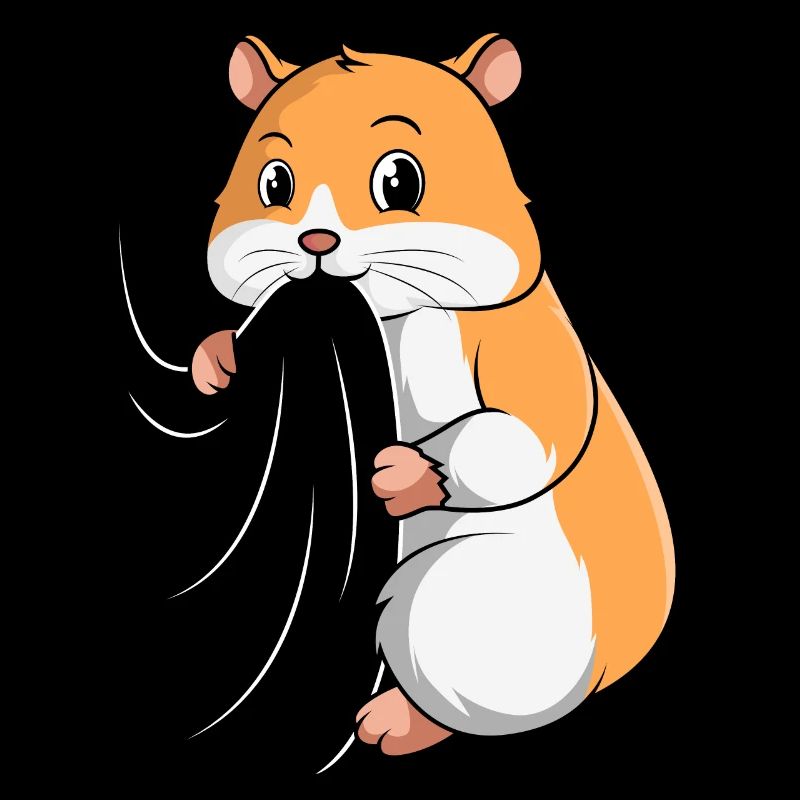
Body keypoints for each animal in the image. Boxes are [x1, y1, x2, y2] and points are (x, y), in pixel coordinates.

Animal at [193, 33, 675, 756]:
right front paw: (215, 360)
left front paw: (406, 475)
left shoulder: (524, 358)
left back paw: (396, 723)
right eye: (274, 184)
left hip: (454, 599)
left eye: (399, 181)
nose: (315, 240)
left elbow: (522, 434)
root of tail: (615, 664)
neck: (392, 311)